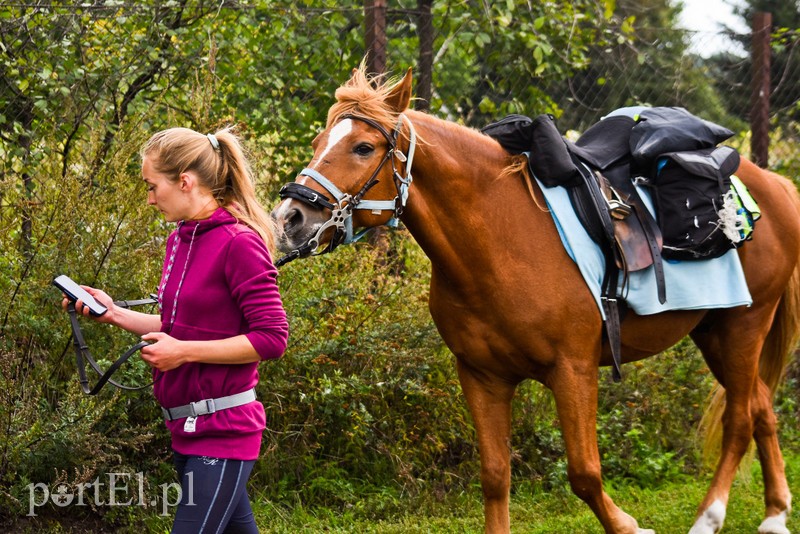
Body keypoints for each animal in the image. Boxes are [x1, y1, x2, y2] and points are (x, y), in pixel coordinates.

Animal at [270, 68, 800, 534]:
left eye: (363, 147)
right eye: (319, 144)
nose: (289, 217)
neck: (501, 242)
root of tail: (775, 186)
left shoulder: (573, 371)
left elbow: (584, 473)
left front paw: (630, 525)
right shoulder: (482, 376)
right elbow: (494, 476)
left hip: (744, 326)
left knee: (739, 420)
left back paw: (709, 518)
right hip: (713, 332)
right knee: (760, 408)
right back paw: (775, 514)